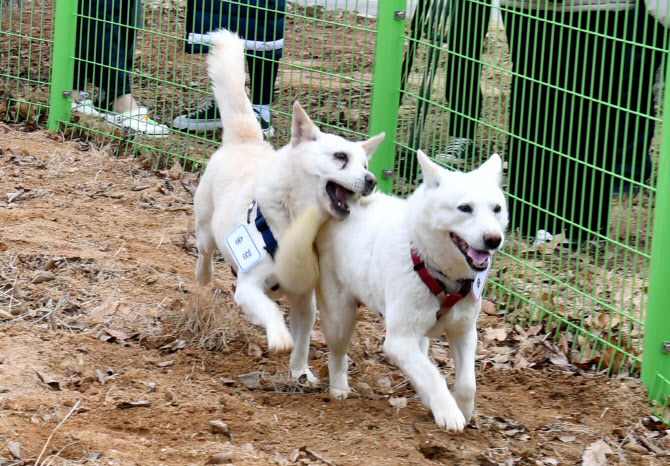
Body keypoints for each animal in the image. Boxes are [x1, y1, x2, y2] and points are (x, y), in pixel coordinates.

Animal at [192, 29, 386, 382]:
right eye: (340, 158)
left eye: (365, 164)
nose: (371, 180)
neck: (298, 222)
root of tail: (245, 141)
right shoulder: (248, 288)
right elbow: (270, 310)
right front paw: (280, 337)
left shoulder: (304, 300)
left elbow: (305, 338)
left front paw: (300, 372)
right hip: (204, 227)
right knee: (204, 252)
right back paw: (204, 276)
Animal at [278, 151, 510, 432]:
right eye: (464, 208)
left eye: (497, 209)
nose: (493, 239)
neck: (436, 269)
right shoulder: (399, 341)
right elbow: (433, 375)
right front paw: (448, 412)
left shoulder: (464, 332)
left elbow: (467, 383)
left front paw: (462, 409)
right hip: (340, 319)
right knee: (338, 355)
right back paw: (339, 388)